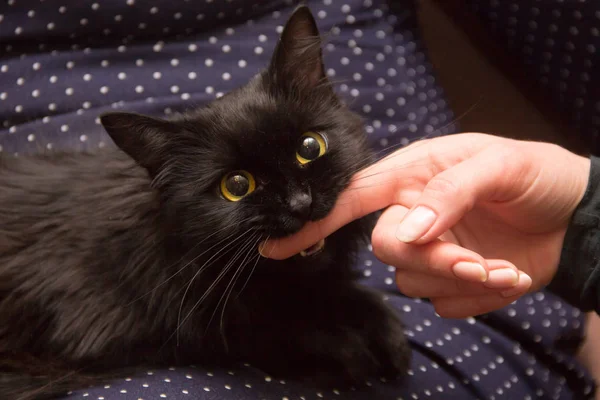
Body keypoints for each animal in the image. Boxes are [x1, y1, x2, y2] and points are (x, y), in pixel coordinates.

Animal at [0, 6, 410, 400]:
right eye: (237, 186)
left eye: (310, 147)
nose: (300, 202)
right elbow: (276, 334)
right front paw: (349, 350)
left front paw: (386, 332)